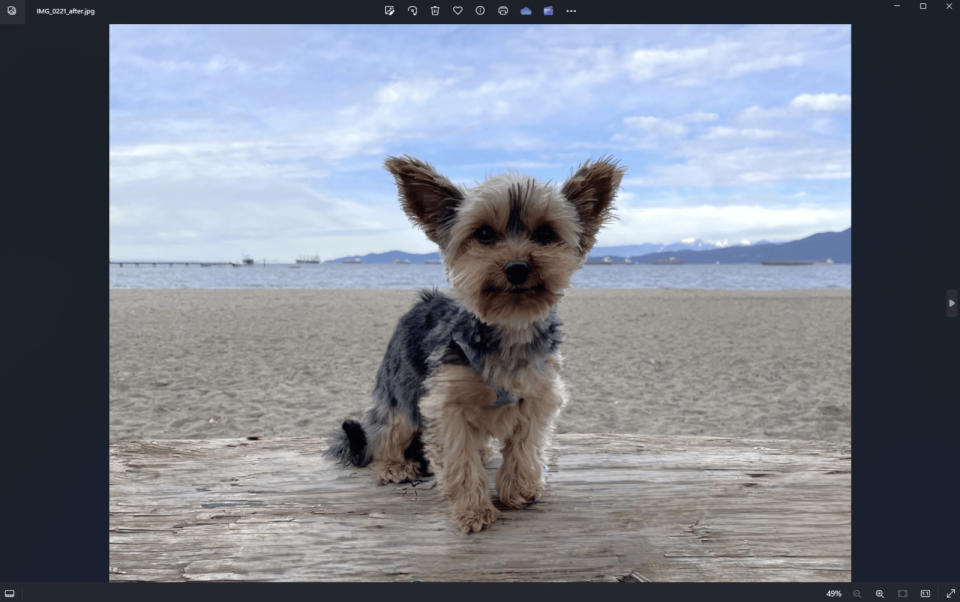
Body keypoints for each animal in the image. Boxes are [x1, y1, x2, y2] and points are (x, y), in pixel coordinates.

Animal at [330, 155, 628, 528]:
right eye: (484, 234)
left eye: (546, 234)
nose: (517, 268)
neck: (509, 327)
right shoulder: (446, 405)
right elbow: (460, 460)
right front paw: (473, 511)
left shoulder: (537, 395)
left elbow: (525, 446)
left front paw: (518, 491)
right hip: (400, 390)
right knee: (383, 434)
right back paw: (394, 466)